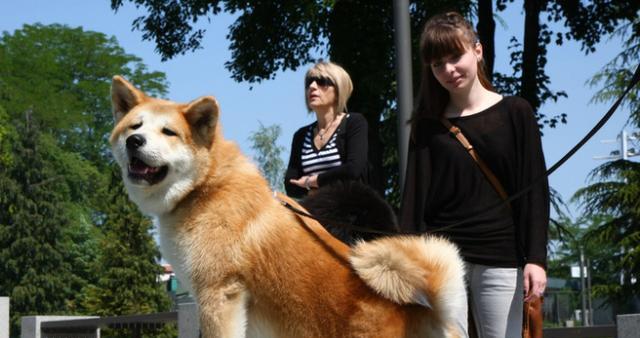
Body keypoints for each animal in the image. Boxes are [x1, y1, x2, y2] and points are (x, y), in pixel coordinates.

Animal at [110, 76, 468, 338]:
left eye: (168, 132)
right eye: (134, 126)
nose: (134, 142)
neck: (206, 188)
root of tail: (430, 315)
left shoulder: (219, 294)